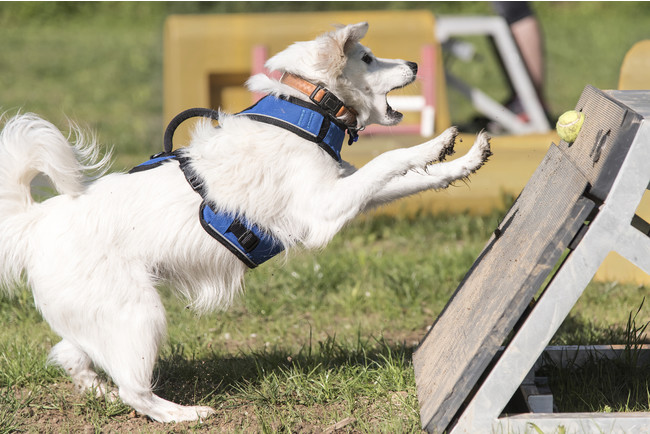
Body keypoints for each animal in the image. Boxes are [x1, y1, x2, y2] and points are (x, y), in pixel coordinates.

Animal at [0, 22, 486, 422]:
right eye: (366, 57)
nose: (415, 64)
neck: (307, 107)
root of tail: (35, 221)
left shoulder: (347, 191)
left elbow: (412, 178)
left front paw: (462, 162)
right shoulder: (324, 208)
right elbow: (391, 157)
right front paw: (435, 142)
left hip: (100, 317)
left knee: (74, 357)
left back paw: (98, 391)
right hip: (138, 314)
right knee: (133, 390)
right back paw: (184, 414)